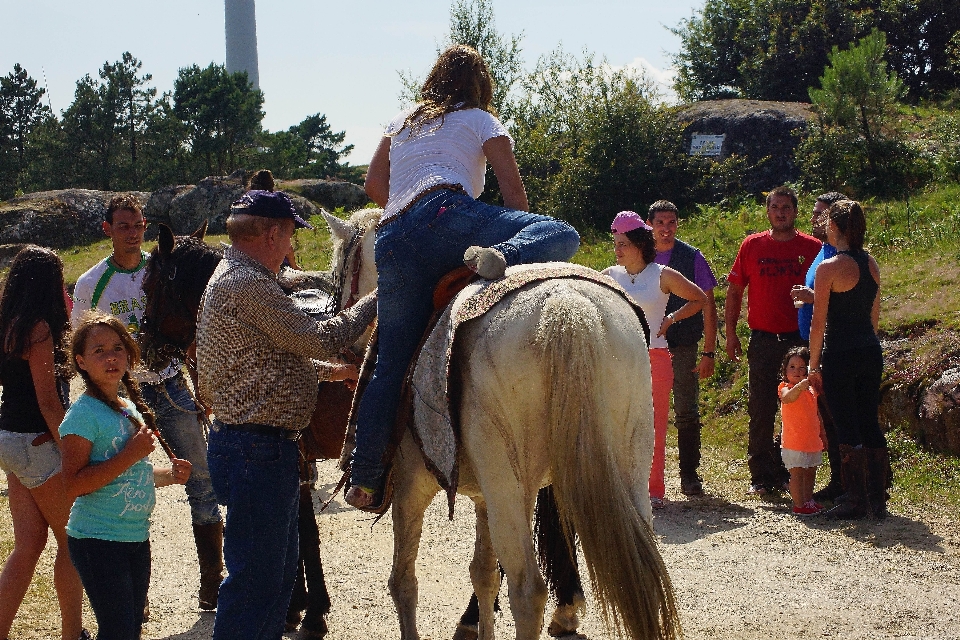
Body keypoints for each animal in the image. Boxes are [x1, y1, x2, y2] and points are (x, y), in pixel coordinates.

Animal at [326, 210, 680, 640]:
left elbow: (404, 582)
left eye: (339, 271)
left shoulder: (412, 487)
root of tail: (566, 307)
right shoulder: (486, 498)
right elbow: (483, 574)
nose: (348, 350)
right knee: (643, 573)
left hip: (507, 484)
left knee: (528, 591)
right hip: (622, 464)